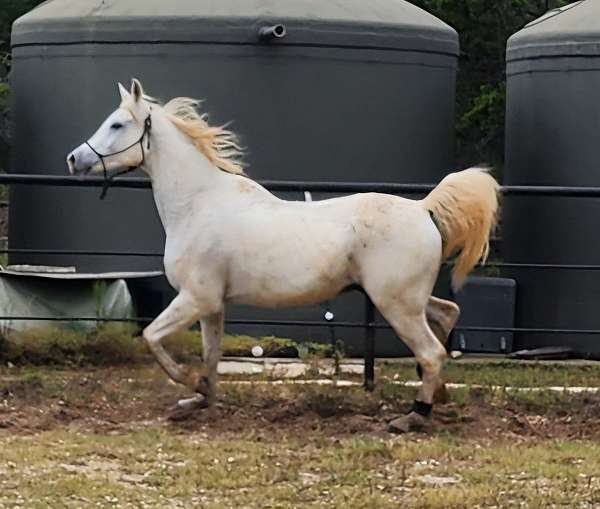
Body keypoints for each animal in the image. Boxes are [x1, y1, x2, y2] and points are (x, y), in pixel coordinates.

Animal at [65, 79, 500, 432]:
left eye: (117, 124)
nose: (74, 159)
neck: (198, 204)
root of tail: (423, 208)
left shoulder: (195, 297)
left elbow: (152, 338)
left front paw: (191, 385)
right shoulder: (212, 304)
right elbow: (210, 354)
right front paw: (199, 398)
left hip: (396, 303)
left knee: (431, 351)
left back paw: (413, 416)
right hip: (409, 299)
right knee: (446, 318)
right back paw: (439, 396)